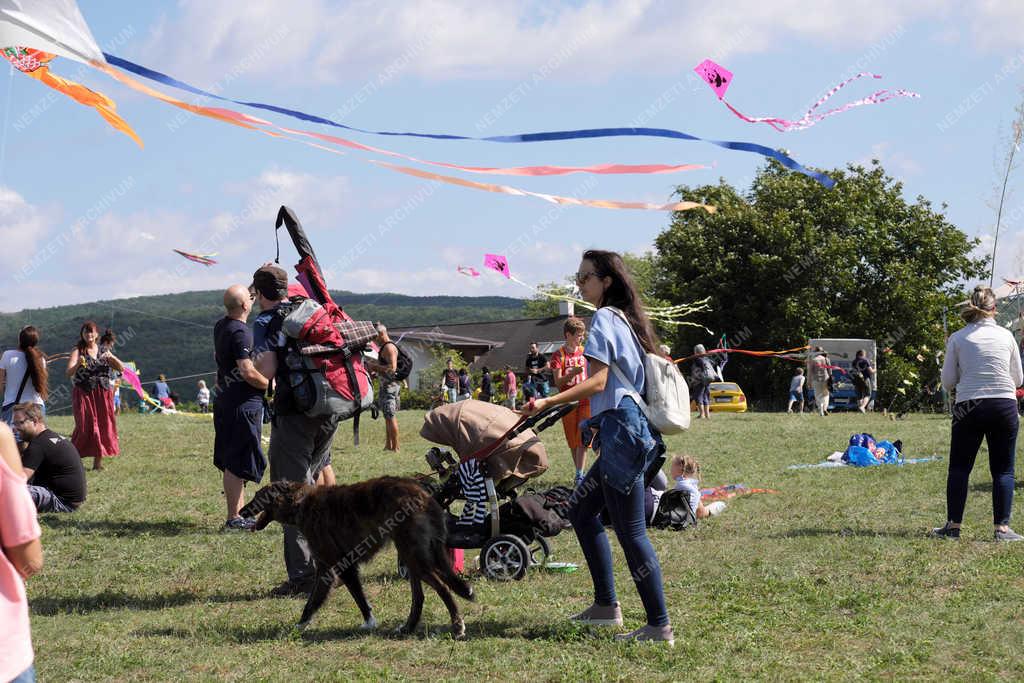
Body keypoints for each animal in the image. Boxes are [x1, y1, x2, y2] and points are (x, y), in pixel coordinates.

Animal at [240, 479, 475, 638]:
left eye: (257, 496)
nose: (242, 511)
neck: (301, 502)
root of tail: (424, 495)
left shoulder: (335, 567)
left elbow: (321, 600)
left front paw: (298, 627)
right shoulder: (338, 566)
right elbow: (354, 598)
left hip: (415, 557)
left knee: (443, 588)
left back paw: (457, 626)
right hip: (411, 556)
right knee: (419, 598)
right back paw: (408, 627)